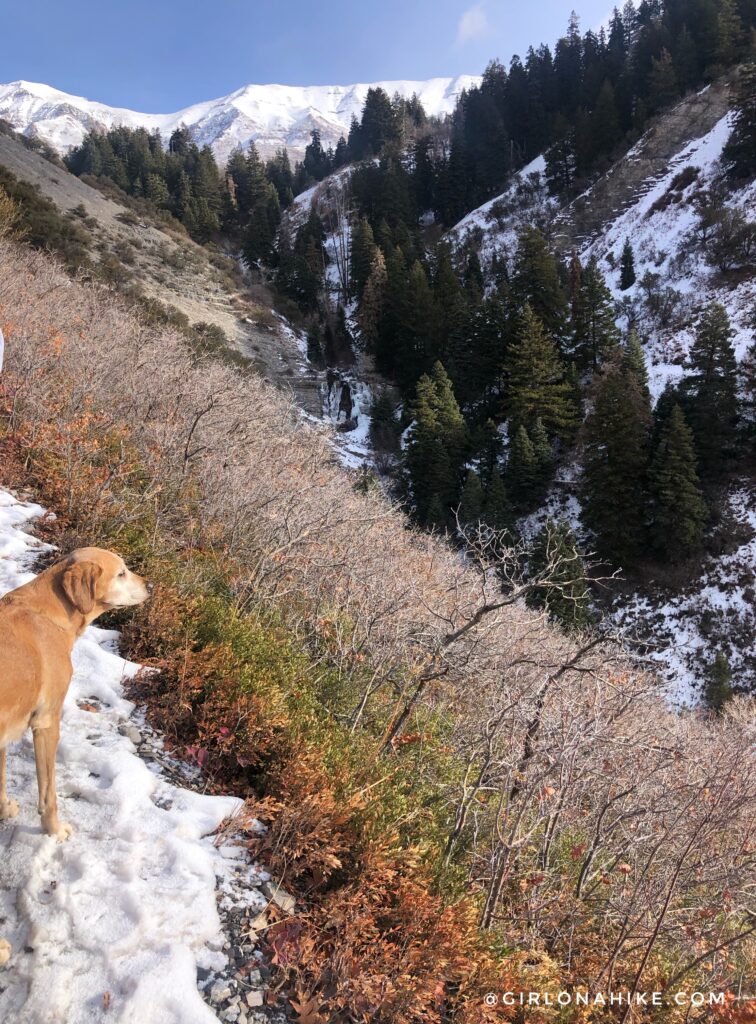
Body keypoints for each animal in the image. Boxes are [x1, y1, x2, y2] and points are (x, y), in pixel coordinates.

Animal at [0, 548, 148, 843]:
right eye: (121, 573)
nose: (150, 585)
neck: (51, 612)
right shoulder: (47, 723)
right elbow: (48, 793)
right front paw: (53, 829)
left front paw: (4, 807)